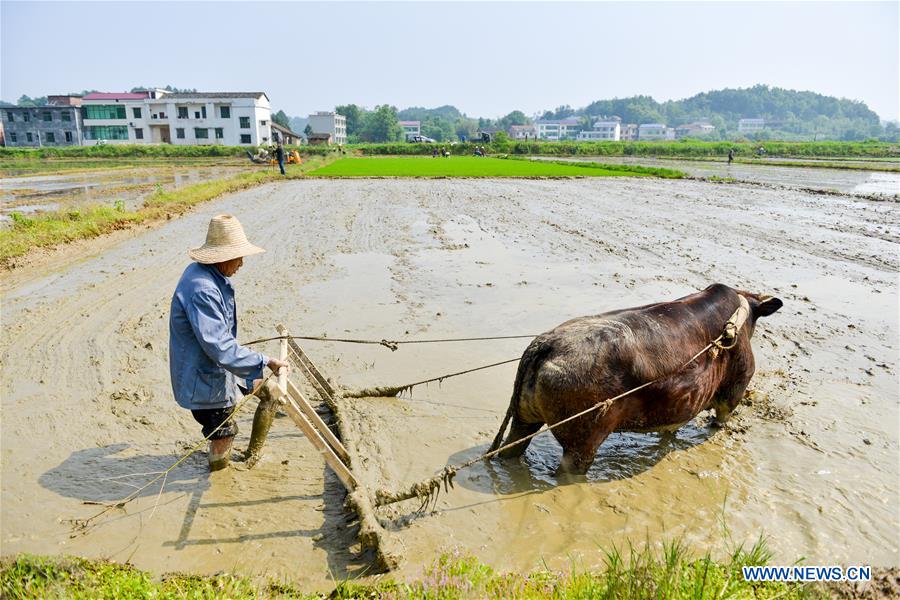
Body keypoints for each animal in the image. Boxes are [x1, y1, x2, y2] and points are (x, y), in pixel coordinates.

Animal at [488, 284, 776, 476]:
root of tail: (546, 344)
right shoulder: (734, 392)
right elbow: (720, 420)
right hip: (581, 443)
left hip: (524, 420)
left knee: (511, 448)